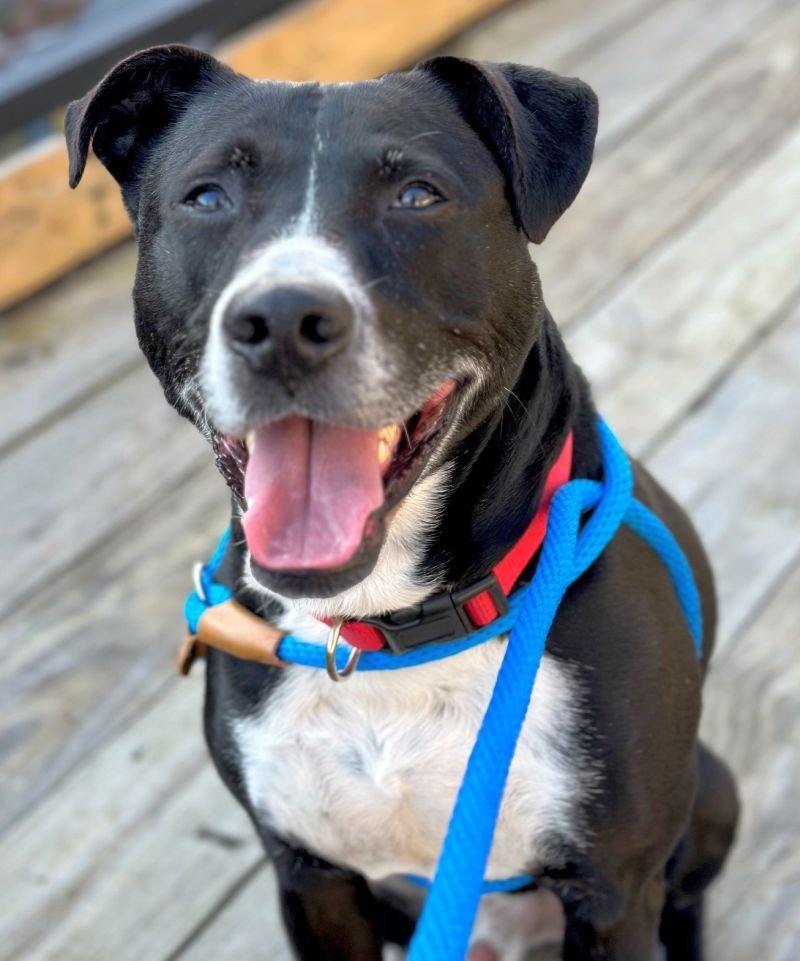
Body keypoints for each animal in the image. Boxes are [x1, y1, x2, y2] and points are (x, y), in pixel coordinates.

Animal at [65, 45, 740, 960]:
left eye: (418, 195)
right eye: (205, 197)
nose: (283, 318)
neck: (384, 627)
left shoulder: (614, 891)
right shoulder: (312, 879)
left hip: (712, 794)